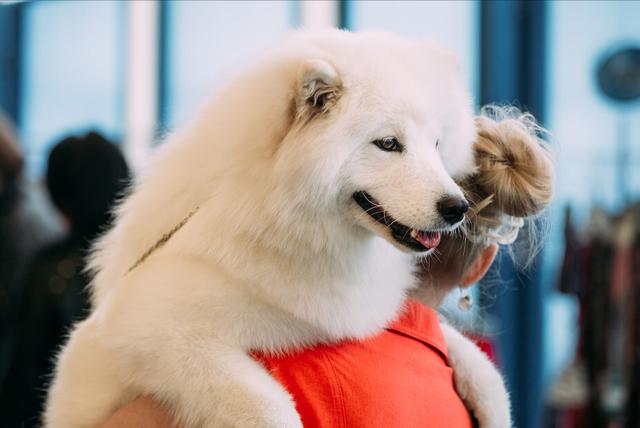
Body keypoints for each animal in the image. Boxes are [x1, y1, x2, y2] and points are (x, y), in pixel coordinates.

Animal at [43, 30, 510, 428]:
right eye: (388, 144)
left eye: (435, 144)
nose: (457, 208)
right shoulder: (155, 326)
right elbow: (268, 405)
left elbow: (468, 350)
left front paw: (493, 404)